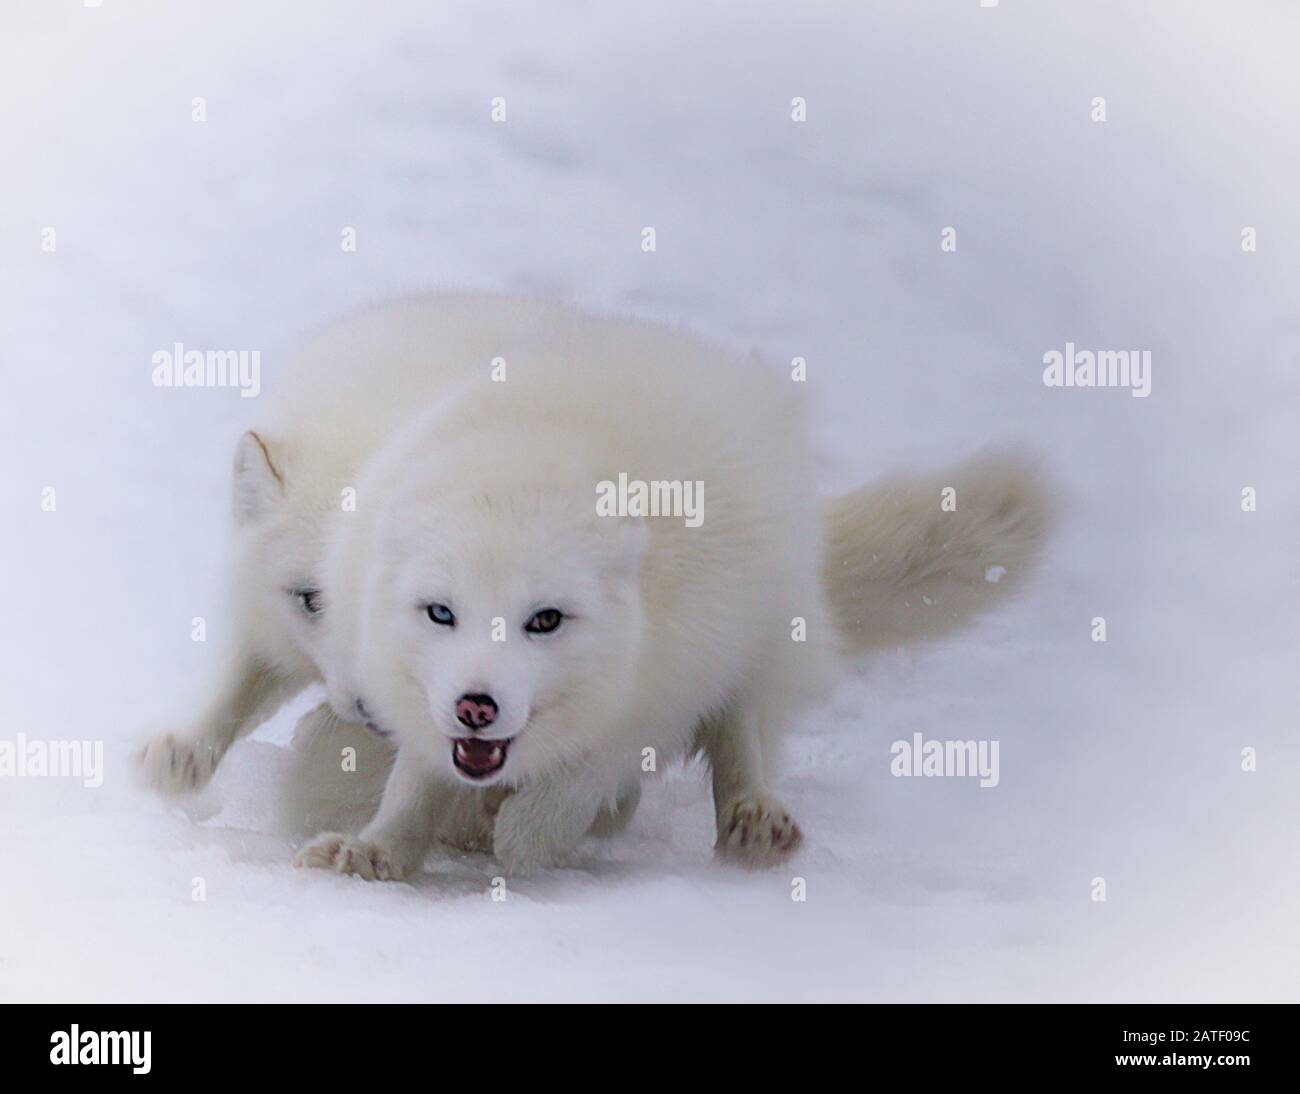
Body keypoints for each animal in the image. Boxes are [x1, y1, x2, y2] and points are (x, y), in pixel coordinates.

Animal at [289, 293, 1050, 873]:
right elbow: (413, 786)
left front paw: (528, 834)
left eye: (545, 620)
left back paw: (751, 820)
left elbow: (584, 775)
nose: (477, 705)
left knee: (745, 737)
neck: (523, 467)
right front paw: (376, 855)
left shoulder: (659, 691)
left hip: (760, 634)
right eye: (440, 613)